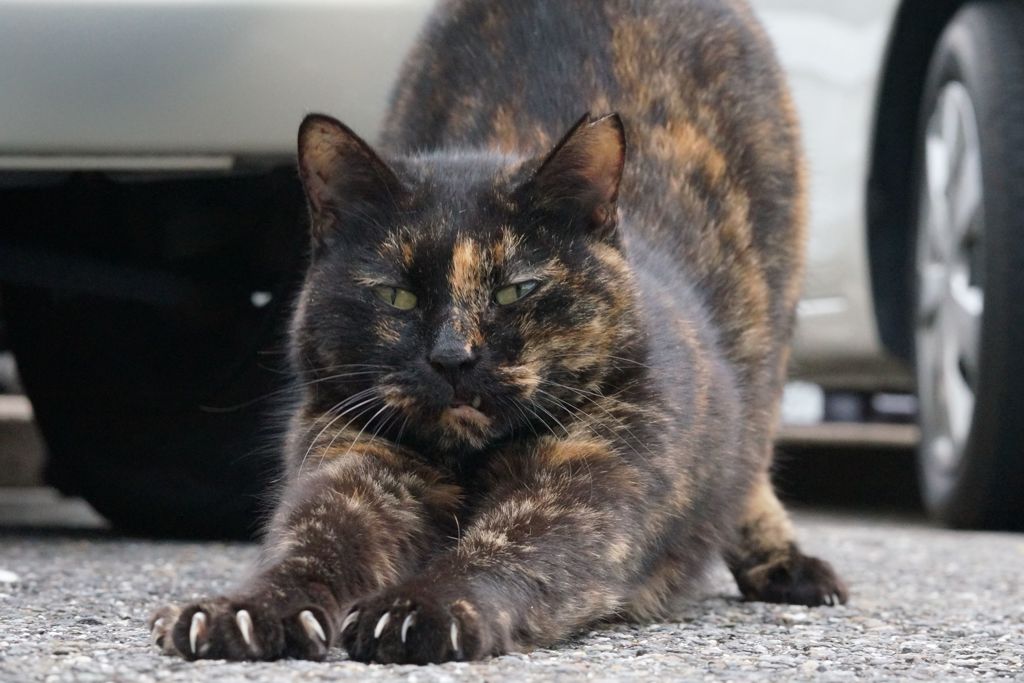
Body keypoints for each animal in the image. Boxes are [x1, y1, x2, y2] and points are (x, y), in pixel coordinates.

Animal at [151, 0, 847, 663]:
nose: (453, 358)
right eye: (397, 295)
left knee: (753, 453)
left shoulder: (585, 482)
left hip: (770, 335)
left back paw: (785, 564)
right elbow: (308, 545)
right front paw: (243, 609)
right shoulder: (353, 462)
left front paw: (420, 608)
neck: (468, 459)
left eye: (516, 289)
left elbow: (506, 548)